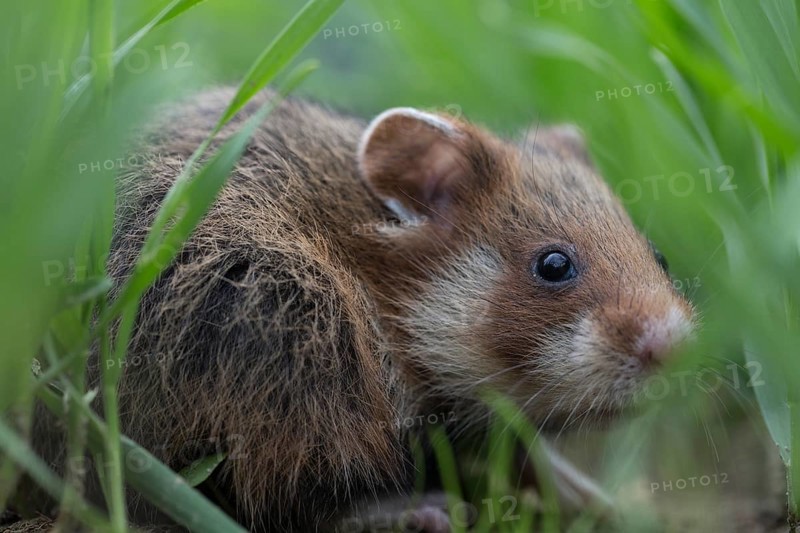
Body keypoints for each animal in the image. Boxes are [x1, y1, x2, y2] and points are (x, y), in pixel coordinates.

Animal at [40, 88, 694, 531]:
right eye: (553, 265)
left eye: (660, 255)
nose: (675, 351)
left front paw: (601, 502)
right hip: (287, 321)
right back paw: (419, 511)